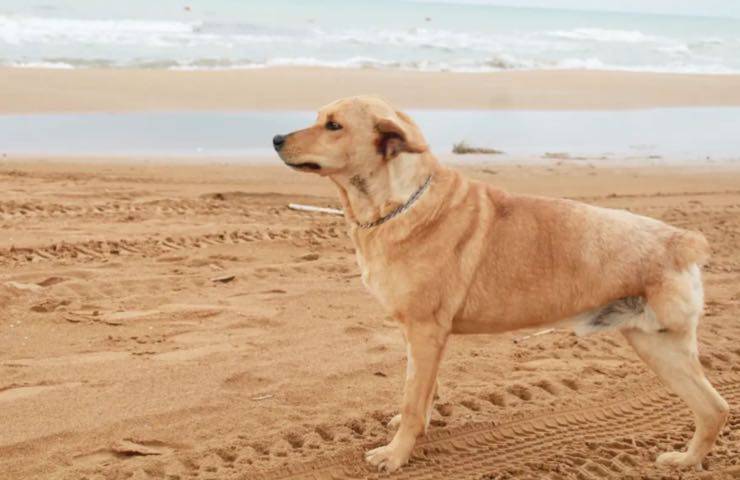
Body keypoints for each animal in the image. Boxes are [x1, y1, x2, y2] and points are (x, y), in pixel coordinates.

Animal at [272, 96, 728, 472]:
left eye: (334, 125)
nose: (275, 138)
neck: (399, 202)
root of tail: (682, 241)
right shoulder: (427, 340)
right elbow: (423, 394)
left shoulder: (424, 332)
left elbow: (413, 399)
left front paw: (397, 453)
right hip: (653, 344)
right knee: (714, 408)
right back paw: (687, 460)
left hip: (663, 347)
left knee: (714, 408)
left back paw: (685, 461)